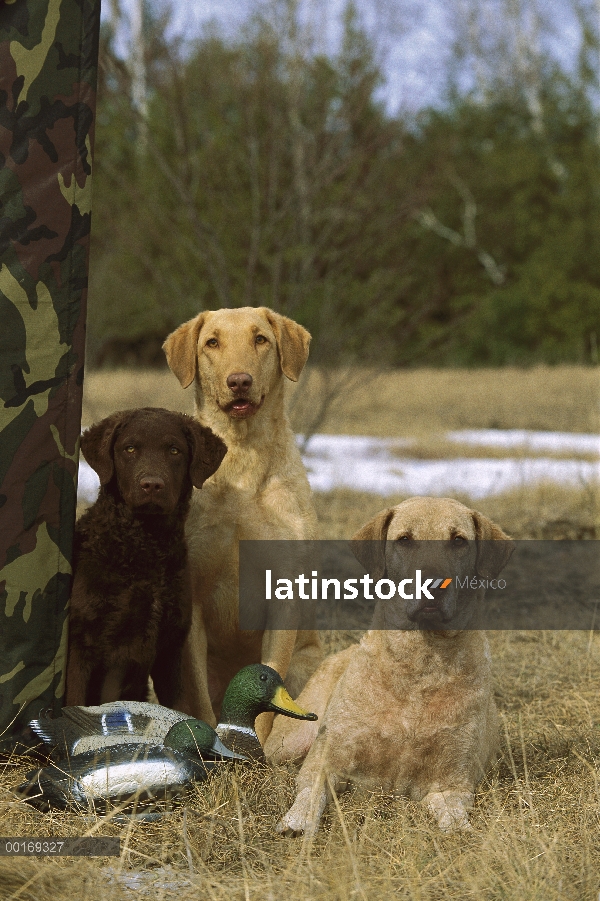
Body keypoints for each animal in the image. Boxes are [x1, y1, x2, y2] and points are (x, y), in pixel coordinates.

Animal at [65, 408, 225, 712]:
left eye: (174, 450)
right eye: (129, 449)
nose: (152, 484)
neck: (145, 552)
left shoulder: (171, 650)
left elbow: (182, 707)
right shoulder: (81, 644)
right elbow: (73, 702)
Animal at [163, 306, 324, 740]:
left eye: (260, 339)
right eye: (212, 342)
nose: (239, 381)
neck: (243, 455)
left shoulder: (284, 600)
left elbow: (270, 700)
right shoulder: (192, 600)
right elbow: (202, 703)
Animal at [266, 496, 516, 832]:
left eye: (458, 540)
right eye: (405, 539)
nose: (433, 585)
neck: (420, 662)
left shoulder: (451, 783)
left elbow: (454, 819)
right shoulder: (325, 762)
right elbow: (311, 792)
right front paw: (298, 821)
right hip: (286, 742)